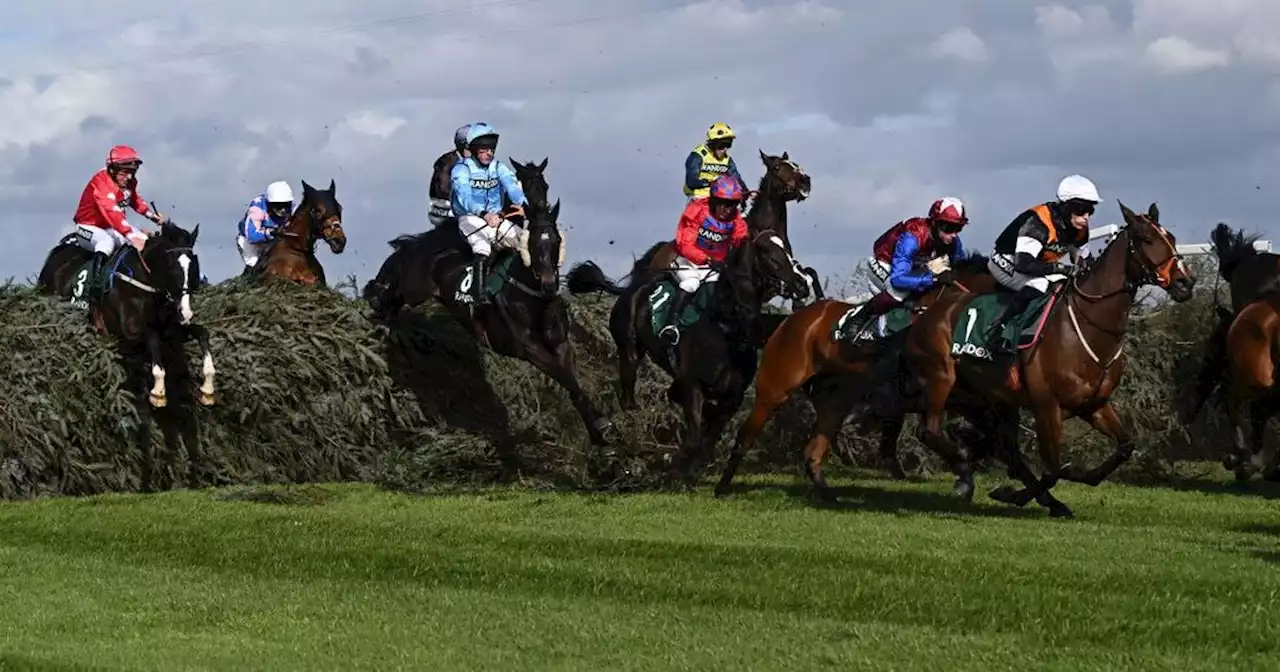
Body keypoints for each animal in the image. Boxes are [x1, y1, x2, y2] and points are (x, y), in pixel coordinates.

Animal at [363, 163, 616, 450]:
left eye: (555, 241)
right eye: (532, 243)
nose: (549, 284)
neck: (533, 299)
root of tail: (441, 253)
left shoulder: (561, 344)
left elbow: (573, 382)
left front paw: (599, 436)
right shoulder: (530, 349)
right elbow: (567, 379)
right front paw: (600, 426)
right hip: (414, 287)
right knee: (399, 269)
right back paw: (376, 297)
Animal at [563, 227, 803, 483]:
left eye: (788, 250)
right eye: (770, 255)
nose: (800, 284)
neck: (726, 328)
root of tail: (635, 286)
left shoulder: (732, 397)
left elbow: (706, 444)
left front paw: (687, 469)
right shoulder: (694, 385)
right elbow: (696, 440)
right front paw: (673, 465)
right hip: (629, 350)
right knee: (628, 398)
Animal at [711, 253, 998, 496]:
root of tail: (792, 319)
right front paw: (964, 476)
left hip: (834, 401)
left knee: (814, 450)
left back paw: (830, 495)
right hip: (775, 389)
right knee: (746, 435)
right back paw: (722, 488)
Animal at [906, 202, 1192, 517]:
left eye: (1172, 238)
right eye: (1147, 239)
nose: (1185, 282)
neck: (1089, 327)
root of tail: (927, 310)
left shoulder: (1094, 405)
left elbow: (1123, 448)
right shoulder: (1047, 408)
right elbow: (1054, 469)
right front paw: (1012, 493)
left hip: (983, 397)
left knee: (1000, 445)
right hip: (941, 379)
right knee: (929, 431)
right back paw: (964, 463)